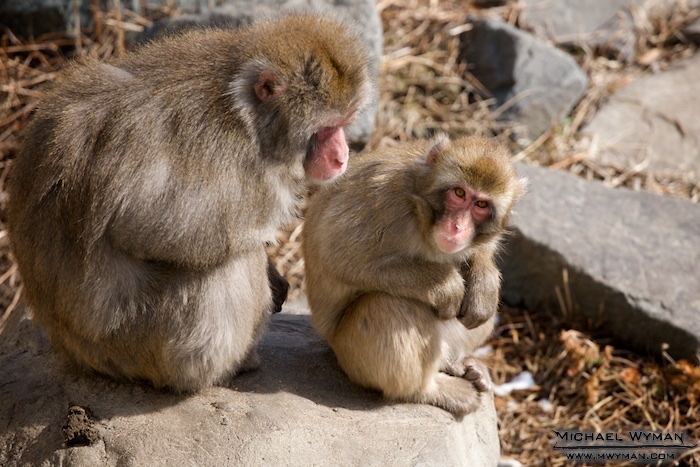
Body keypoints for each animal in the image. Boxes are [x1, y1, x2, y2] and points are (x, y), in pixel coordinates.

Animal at [6, 13, 372, 392]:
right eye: (328, 128)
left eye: (345, 122)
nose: (342, 157)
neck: (244, 113)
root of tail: (69, 346)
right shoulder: (221, 146)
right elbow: (156, 230)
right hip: (138, 342)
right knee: (226, 265)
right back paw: (231, 366)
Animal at [303, 135, 526, 416]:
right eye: (459, 193)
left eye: (482, 205)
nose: (458, 227)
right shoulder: (384, 197)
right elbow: (338, 255)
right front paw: (445, 285)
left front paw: (483, 280)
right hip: (350, 356)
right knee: (388, 305)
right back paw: (428, 390)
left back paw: (460, 362)